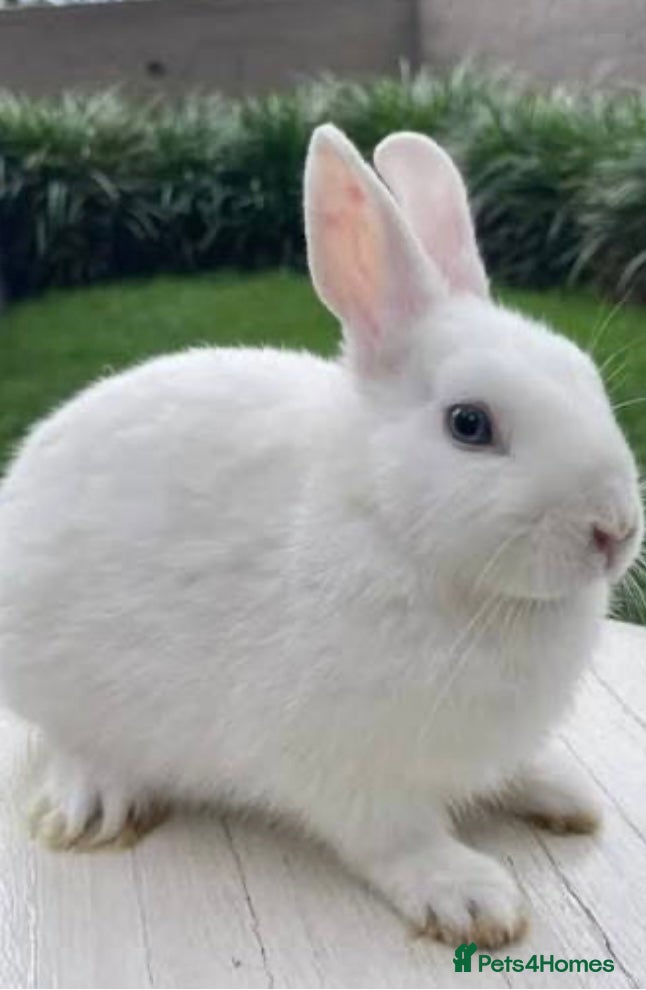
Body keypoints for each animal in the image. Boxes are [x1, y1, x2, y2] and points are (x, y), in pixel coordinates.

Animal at [0, 123, 642, 950]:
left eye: (586, 375)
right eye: (470, 425)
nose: (614, 530)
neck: (385, 528)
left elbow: (507, 771)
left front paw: (563, 792)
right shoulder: (347, 768)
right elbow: (395, 838)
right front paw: (471, 899)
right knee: (68, 738)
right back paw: (92, 801)